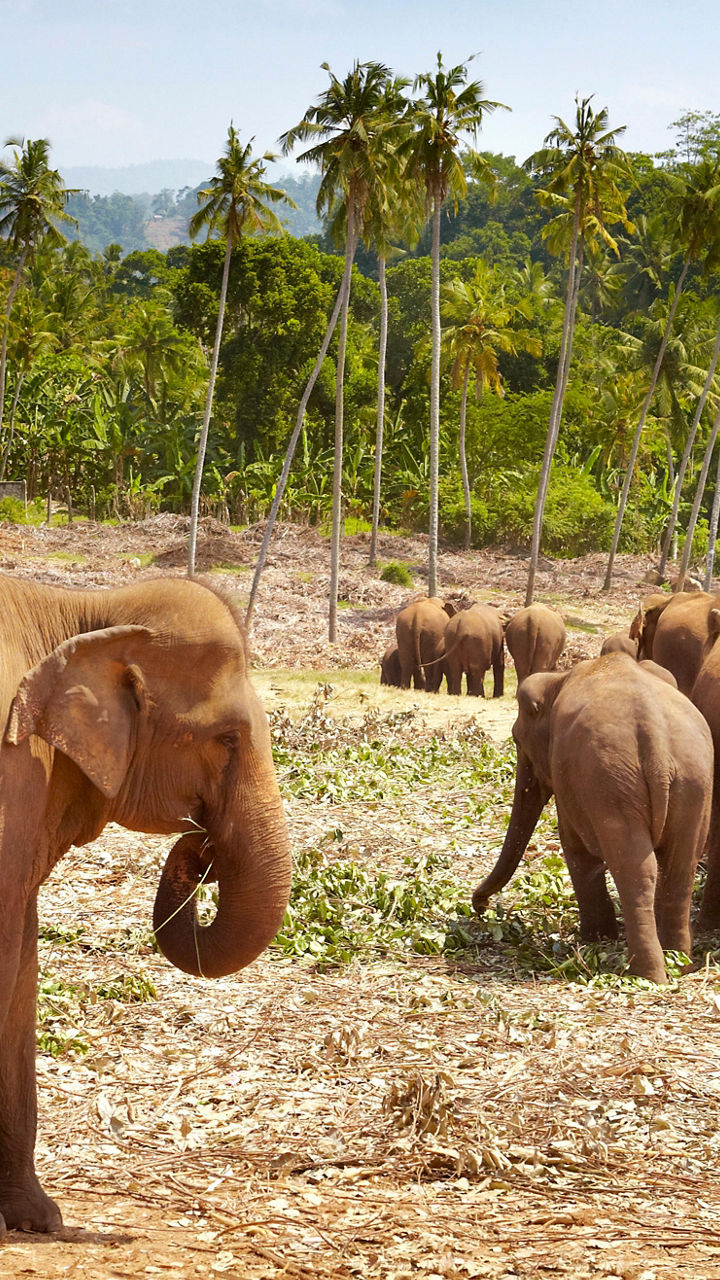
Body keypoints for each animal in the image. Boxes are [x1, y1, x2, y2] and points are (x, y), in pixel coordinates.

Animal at [471, 653, 712, 983]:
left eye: (517, 740)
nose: (480, 906)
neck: (561, 678)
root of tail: (658, 747)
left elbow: (574, 846)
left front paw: (594, 938)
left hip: (610, 783)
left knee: (637, 869)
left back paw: (646, 974)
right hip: (692, 781)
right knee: (679, 866)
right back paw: (679, 962)